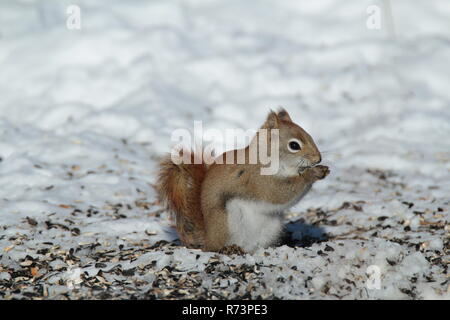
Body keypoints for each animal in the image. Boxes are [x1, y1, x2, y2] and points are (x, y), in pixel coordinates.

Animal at [156, 109, 328, 254]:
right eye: (294, 145)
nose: (318, 159)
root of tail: (208, 238)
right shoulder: (257, 179)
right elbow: (278, 194)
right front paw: (313, 173)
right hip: (228, 222)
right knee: (216, 247)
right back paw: (229, 249)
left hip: (272, 227)